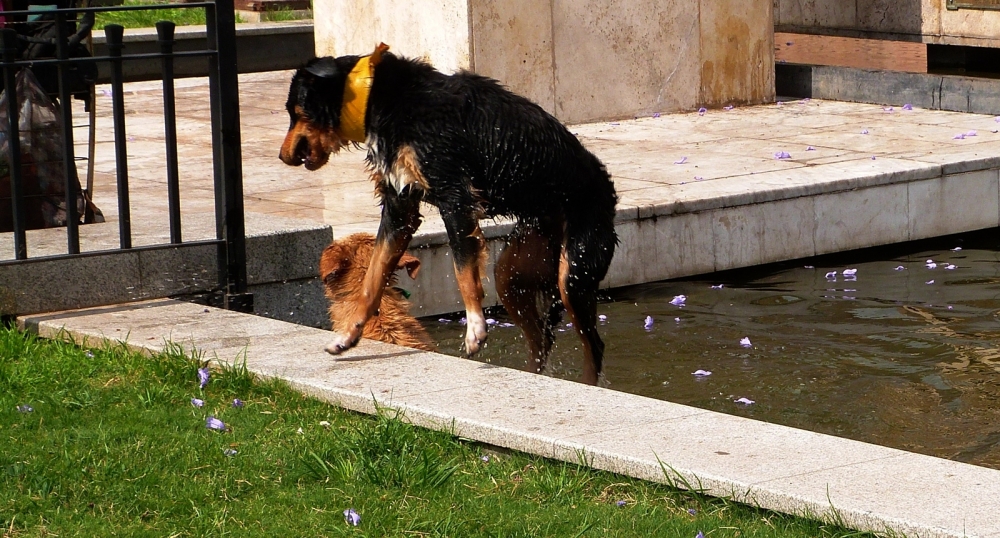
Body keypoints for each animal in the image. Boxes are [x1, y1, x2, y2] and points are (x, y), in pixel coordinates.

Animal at [280, 44, 616, 384]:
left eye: (296, 112)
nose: (282, 157)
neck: (379, 98)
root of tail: (605, 186)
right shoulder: (400, 208)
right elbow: (371, 281)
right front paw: (348, 336)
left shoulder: (455, 197)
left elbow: (463, 271)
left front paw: (475, 330)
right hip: (514, 272)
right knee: (541, 338)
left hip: (574, 272)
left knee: (594, 345)